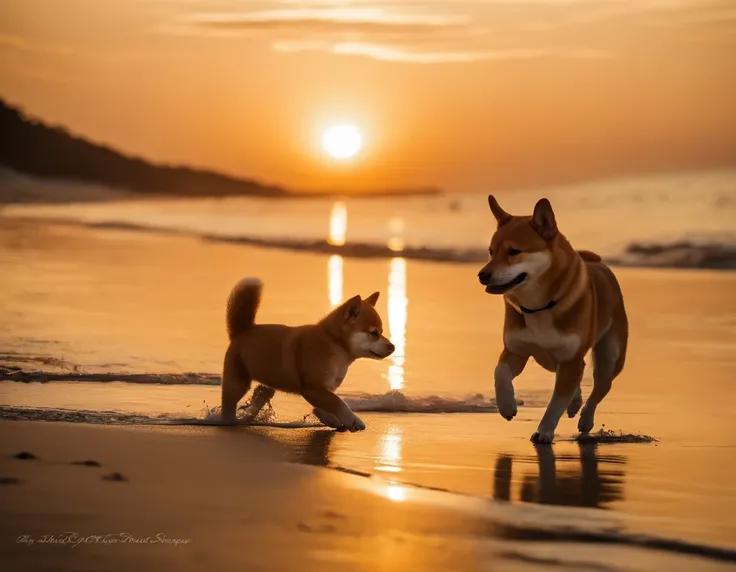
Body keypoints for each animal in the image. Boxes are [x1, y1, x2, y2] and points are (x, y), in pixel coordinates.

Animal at [220, 280, 394, 432]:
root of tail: (242, 330)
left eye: (381, 332)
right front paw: (353, 420)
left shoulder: (324, 388)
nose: (393, 347)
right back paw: (228, 421)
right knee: (229, 405)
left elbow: (326, 406)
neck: (334, 344)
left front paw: (330, 419)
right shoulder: (312, 387)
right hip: (238, 384)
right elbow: (339, 402)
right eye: (374, 333)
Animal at [480, 196, 628, 442]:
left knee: (599, 388)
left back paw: (585, 419)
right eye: (491, 252)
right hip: (552, 360)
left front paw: (544, 431)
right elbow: (500, 373)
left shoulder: (569, 359)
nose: (482, 274)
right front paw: (507, 406)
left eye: (514, 251)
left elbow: (556, 402)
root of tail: (599, 263)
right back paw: (575, 403)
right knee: (578, 376)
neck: (538, 307)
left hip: (609, 358)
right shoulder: (516, 350)